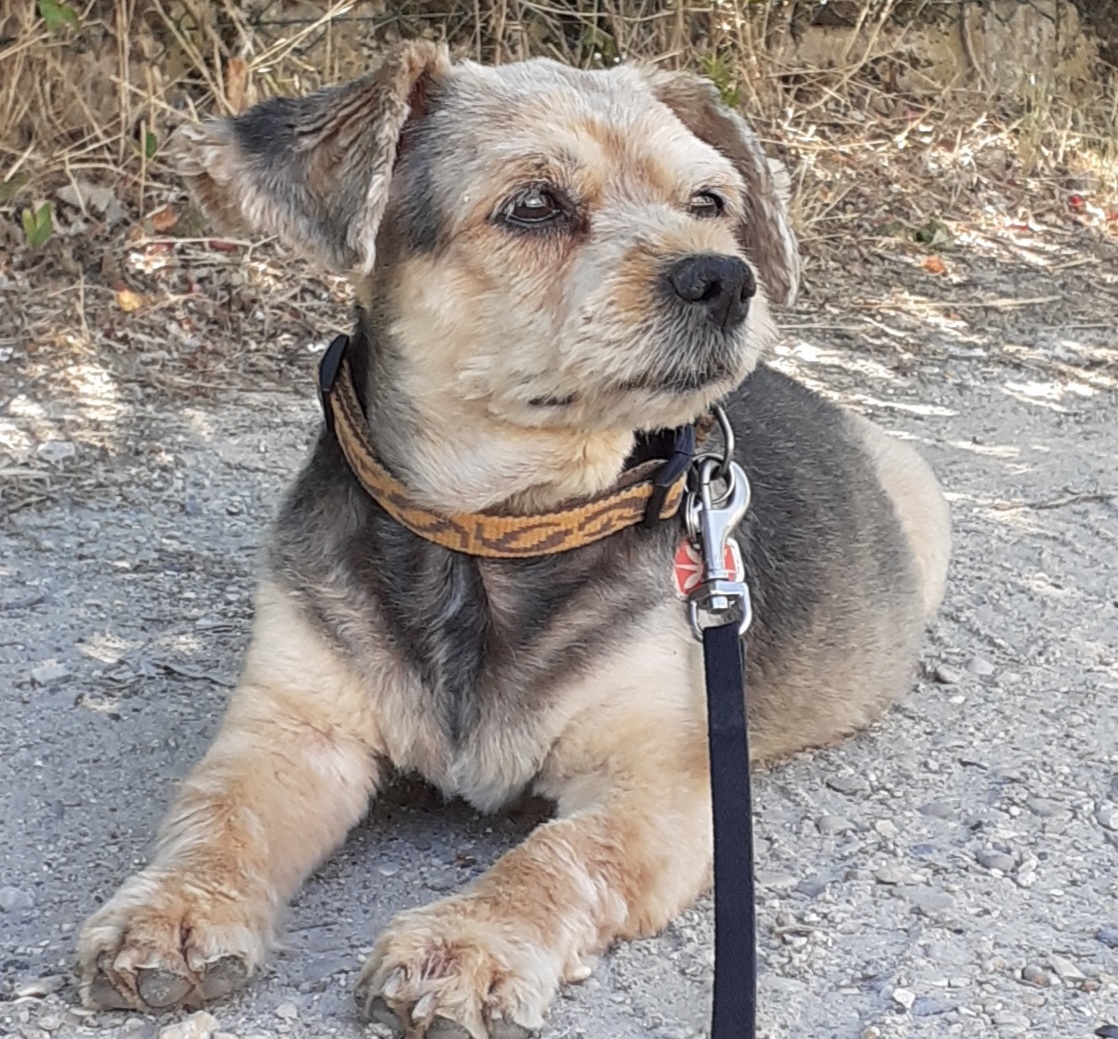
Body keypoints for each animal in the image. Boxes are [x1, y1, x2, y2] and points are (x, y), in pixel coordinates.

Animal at [76, 41, 950, 1038]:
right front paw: (176, 908)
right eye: (534, 205)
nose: (728, 278)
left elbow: (553, 856)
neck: (491, 529)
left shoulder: (657, 786)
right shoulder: (292, 731)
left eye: (708, 202)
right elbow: (220, 814)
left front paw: (467, 944)